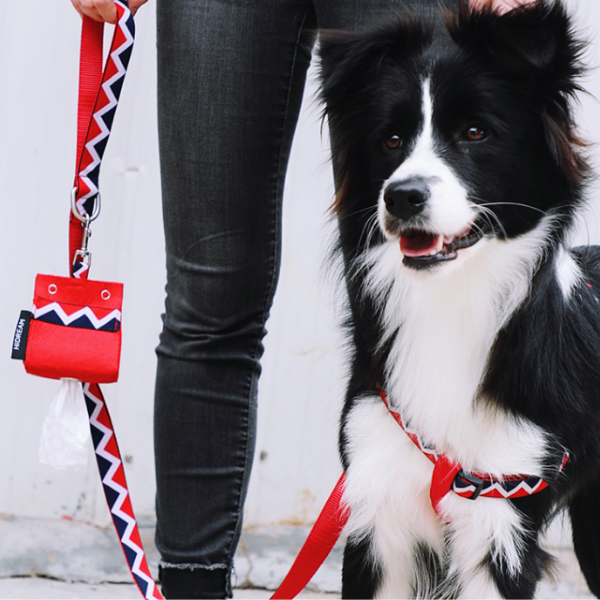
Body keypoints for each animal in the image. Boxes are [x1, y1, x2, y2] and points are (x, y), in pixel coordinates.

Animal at [318, 2, 600, 596]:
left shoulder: (503, 515)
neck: (449, 302)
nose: (402, 196)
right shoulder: (377, 501)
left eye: (475, 132)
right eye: (391, 139)